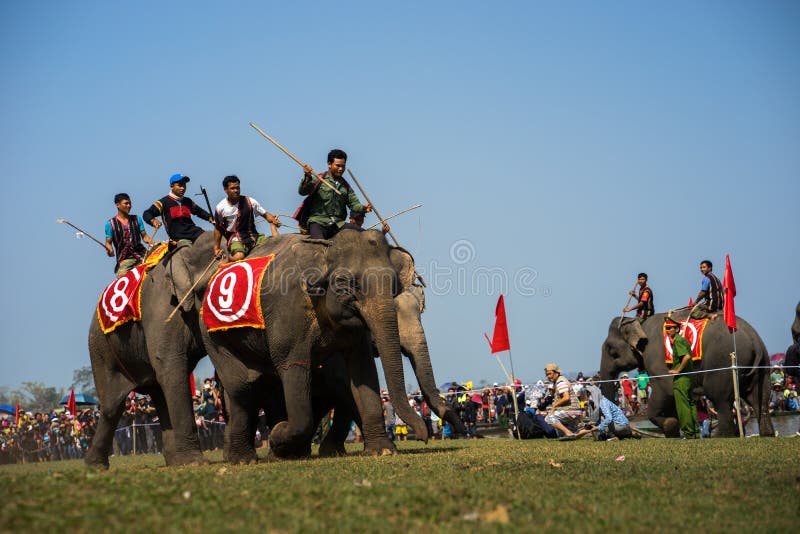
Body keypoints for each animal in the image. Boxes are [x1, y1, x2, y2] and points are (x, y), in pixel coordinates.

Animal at [85, 232, 222, 468]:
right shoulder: (161, 311)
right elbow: (172, 369)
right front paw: (195, 463)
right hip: (101, 348)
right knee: (113, 405)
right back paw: (95, 466)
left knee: (159, 392)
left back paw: (175, 462)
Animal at [202, 229, 430, 463]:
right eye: (346, 282)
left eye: (393, 286)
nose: (424, 437)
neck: (323, 250)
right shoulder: (288, 314)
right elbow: (296, 370)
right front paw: (278, 435)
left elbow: (362, 371)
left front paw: (381, 450)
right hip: (213, 337)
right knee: (242, 388)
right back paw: (244, 458)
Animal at [600, 313, 774, 437]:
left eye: (611, 350)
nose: (627, 434)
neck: (639, 321)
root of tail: (755, 340)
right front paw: (673, 432)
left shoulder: (656, 358)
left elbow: (666, 390)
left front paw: (670, 426)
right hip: (763, 366)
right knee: (759, 398)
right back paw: (767, 434)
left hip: (722, 363)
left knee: (720, 398)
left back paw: (722, 436)